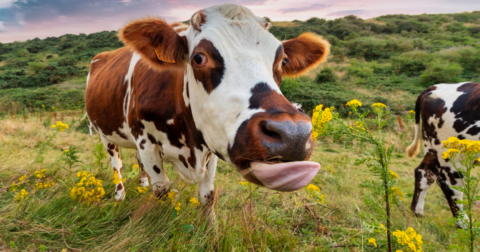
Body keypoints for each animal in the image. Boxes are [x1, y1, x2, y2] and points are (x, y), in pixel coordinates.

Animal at [85, 2, 330, 214]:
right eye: (199, 58)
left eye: (283, 61)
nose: (293, 134)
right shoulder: (147, 143)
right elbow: (162, 190)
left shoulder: (211, 145)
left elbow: (208, 196)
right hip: (102, 132)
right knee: (116, 163)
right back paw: (119, 194)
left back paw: (142, 181)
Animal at [404, 81, 480, 227]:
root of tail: (437, 86)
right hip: (454, 153)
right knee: (450, 184)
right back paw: (465, 226)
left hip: (432, 147)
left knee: (424, 172)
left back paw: (418, 212)